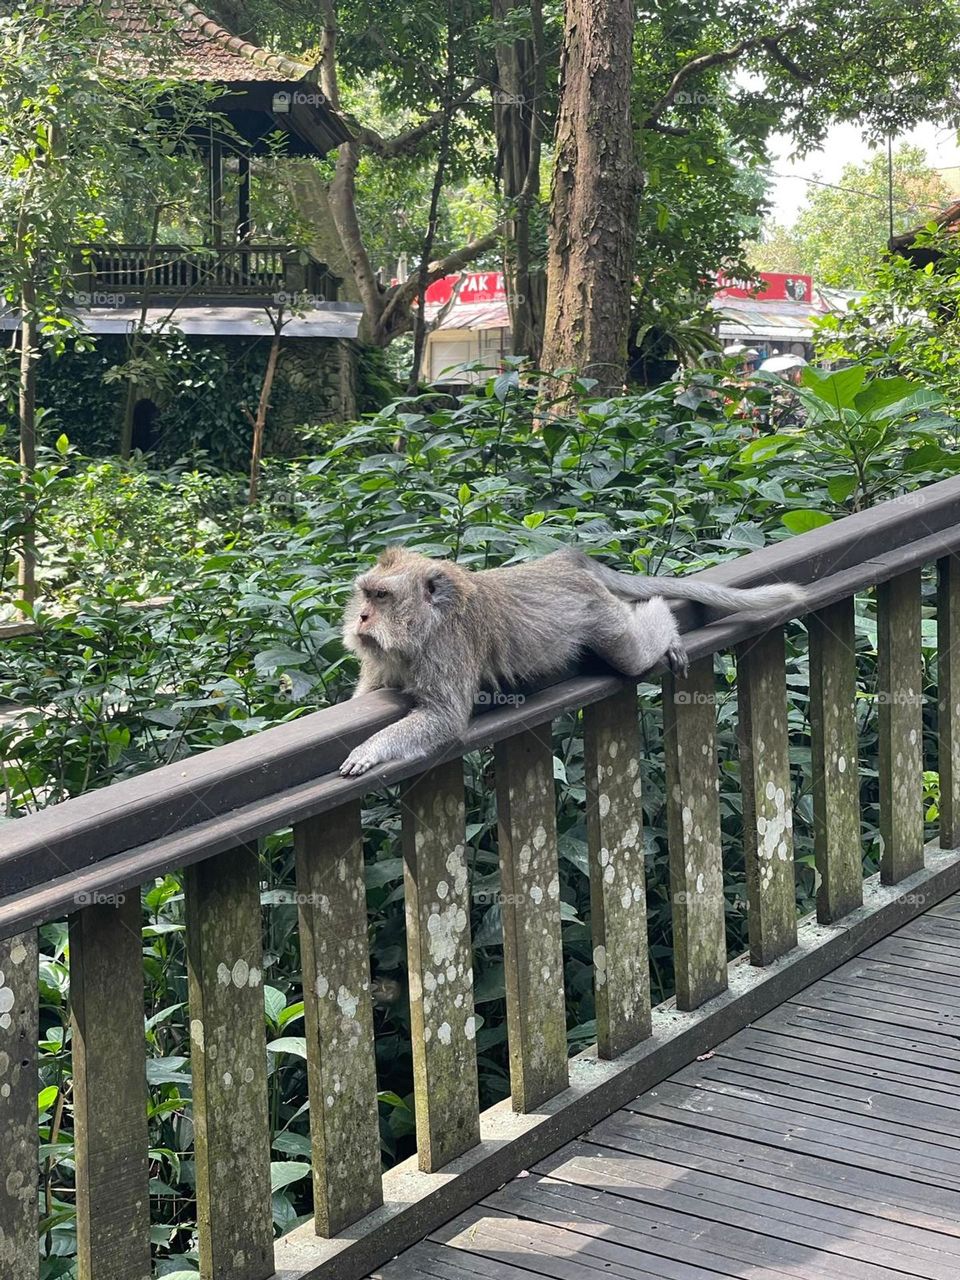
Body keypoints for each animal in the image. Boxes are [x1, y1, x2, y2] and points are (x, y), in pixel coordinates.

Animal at [337, 542, 803, 773]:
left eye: (382, 597)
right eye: (366, 594)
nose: (361, 617)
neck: (427, 623)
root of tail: (563, 561)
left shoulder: (447, 646)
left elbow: (444, 718)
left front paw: (369, 749)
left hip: (601, 614)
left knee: (633, 653)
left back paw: (664, 627)